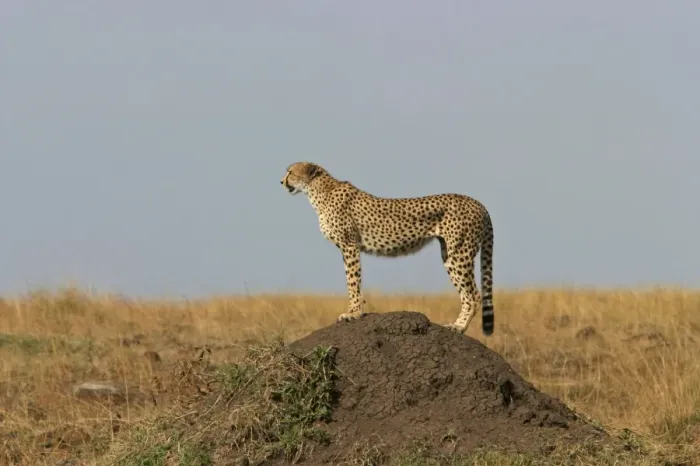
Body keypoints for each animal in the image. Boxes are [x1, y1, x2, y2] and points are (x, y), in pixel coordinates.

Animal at [280, 161, 495, 336]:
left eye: (290, 172)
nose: (281, 182)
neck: (318, 191)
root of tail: (478, 203)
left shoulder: (350, 246)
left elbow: (353, 281)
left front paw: (353, 313)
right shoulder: (346, 248)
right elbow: (351, 280)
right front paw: (355, 311)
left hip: (459, 253)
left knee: (474, 295)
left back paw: (459, 327)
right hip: (449, 254)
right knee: (466, 293)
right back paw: (458, 326)